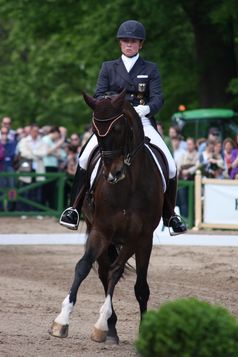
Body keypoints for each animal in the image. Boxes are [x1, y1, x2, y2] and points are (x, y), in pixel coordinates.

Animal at [49, 90, 165, 344]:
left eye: (119, 128)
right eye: (95, 129)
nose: (113, 173)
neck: (129, 185)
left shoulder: (138, 236)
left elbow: (118, 272)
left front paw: (101, 323)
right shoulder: (101, 230)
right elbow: (83, 267)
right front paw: (62, 321)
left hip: (143, 243)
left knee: (139, 285)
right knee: (103, 272)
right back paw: (112, 330)